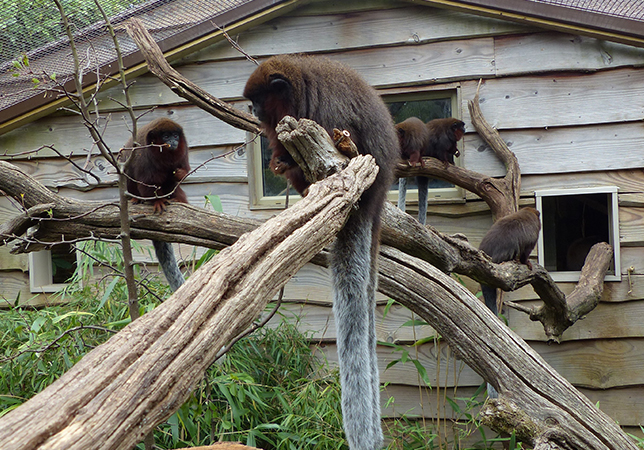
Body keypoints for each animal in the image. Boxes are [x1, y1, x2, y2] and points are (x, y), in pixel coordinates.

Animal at [123, 117, 190, 292]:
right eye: (166, 136)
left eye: (175, 135)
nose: (173, 141)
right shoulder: (143, 158)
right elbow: (146, 182)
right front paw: (157, 201)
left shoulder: (183, 154)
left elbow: (183, 172)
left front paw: (179, 174)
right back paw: (136, 199)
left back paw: (178, 199)